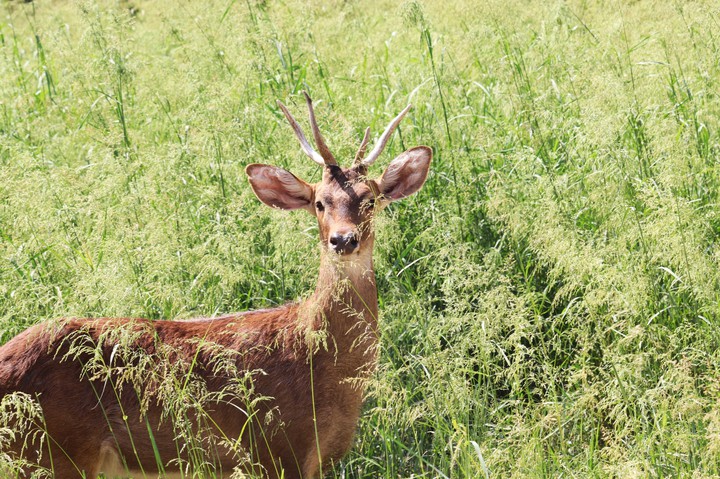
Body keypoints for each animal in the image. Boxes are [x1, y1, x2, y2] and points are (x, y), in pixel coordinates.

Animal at [0, 92, 432, 479]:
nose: (343, 240)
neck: (318, 357)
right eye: (320, 203)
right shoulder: (278, 447)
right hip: (53, 452)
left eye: (371, 200)